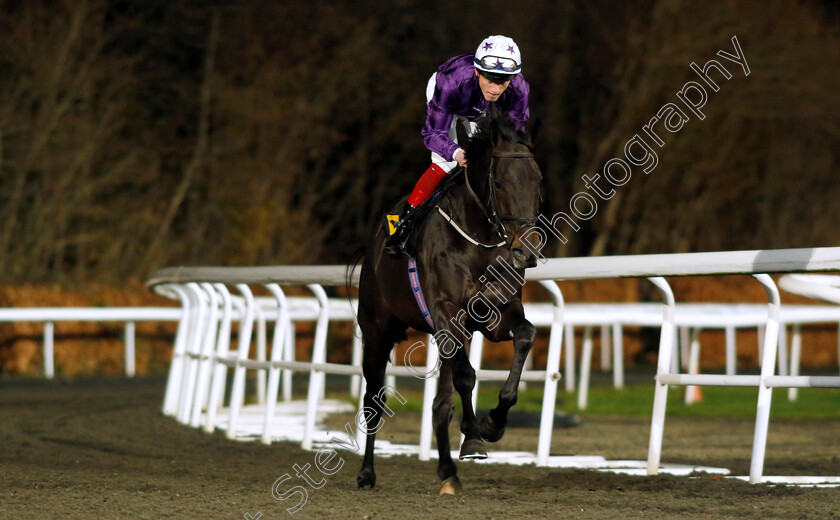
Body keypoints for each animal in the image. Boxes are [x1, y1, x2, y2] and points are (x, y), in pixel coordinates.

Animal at [352, 110, 540, 496]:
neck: (476, 241)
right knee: (373, 401)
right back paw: (366, 473)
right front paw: (475, 438)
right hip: (377, 332)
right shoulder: (447, 314)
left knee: (439, 406)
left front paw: (493, 423)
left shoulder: (495, 314)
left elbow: (525, 335)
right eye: (500, 183)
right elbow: (466, 376)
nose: (525, 251)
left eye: (538, 180)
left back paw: (448, 472)